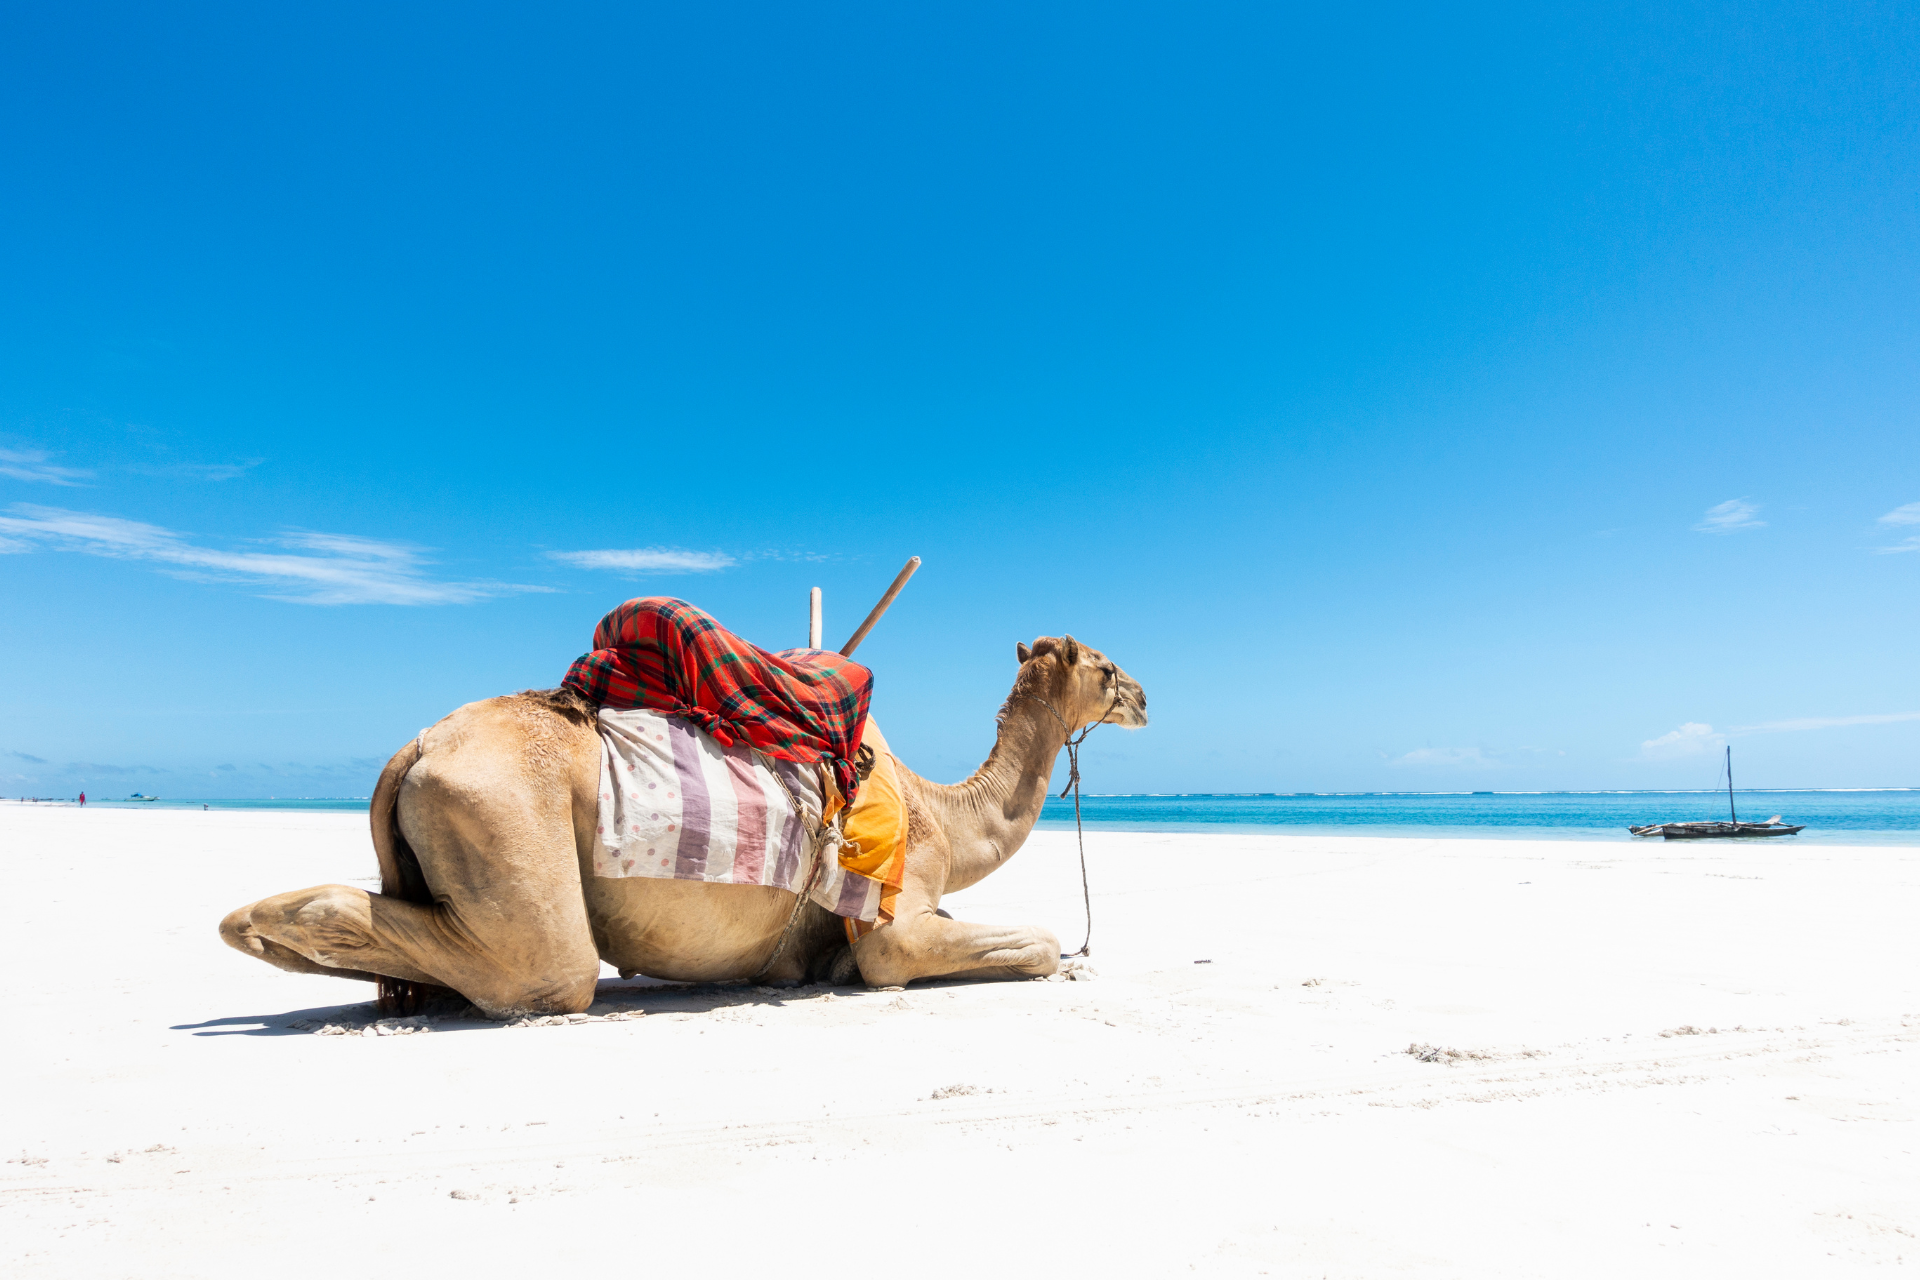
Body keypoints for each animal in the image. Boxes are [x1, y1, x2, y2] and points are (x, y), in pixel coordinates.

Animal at [219, 634, 1147, 1018]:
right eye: (1105, 666)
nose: (1143, 695)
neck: (947, 816)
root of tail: (413, 748)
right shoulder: (896, 919)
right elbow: (1033, 944)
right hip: (508, 819)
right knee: (545, 974)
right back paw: (263, 923)